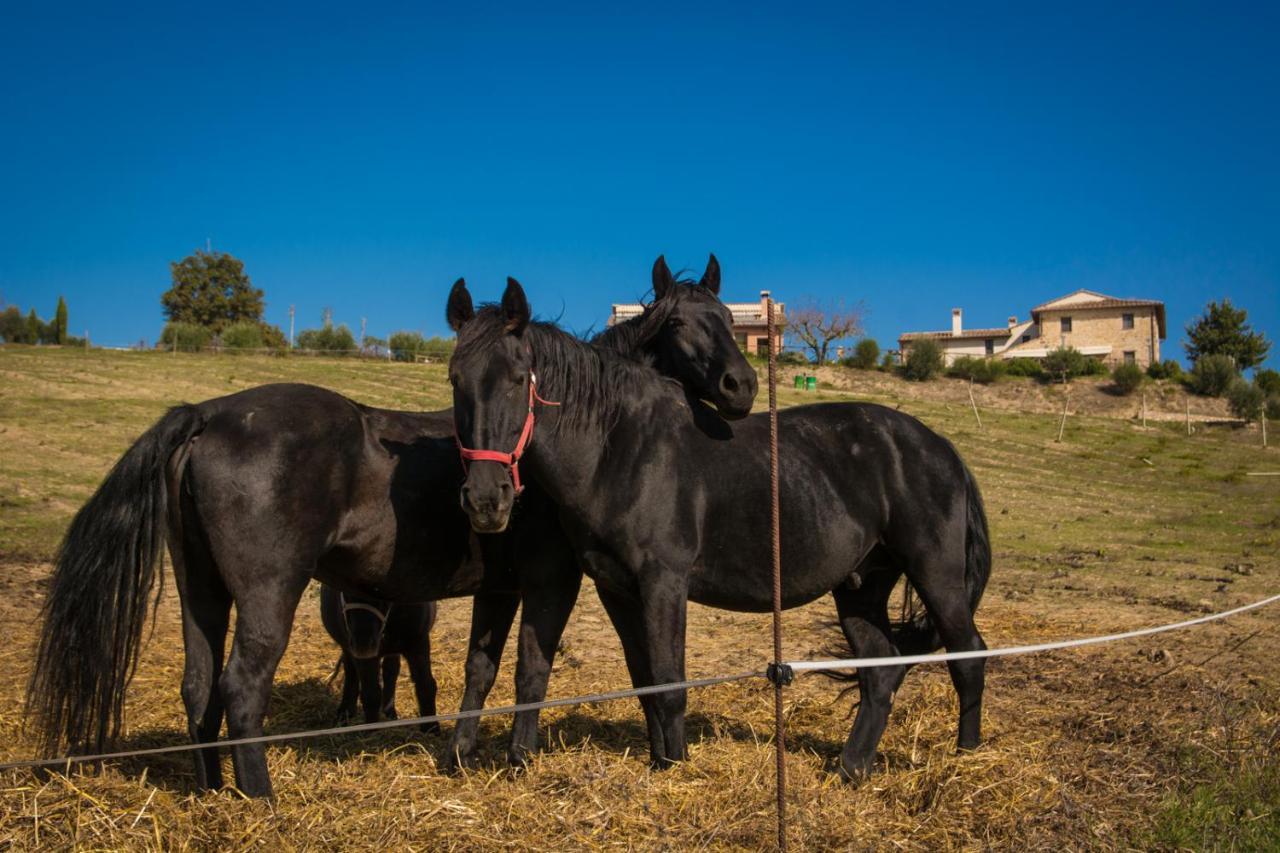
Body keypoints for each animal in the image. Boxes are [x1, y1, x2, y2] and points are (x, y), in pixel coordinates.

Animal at [320, 589, 440, 727]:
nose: (363, 645)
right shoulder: (365, 658)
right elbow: (371, 694)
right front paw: (371, 729)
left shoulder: (418, 644)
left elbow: (426, 685)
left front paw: (431, 728)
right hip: (348, 647)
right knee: (351, 672)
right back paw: (344, 713)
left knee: (390, 670)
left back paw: (389, 711)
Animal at [445, 279, 993, 778]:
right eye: (455, 380)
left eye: (519, 379)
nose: (486, 498)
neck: (620, 446)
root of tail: (938, 446)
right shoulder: (616, 589)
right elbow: (645, 678)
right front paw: (661, 760)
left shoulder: (664, 582)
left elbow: (670, 682)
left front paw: (678, 766)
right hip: (861, 587)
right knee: (880, 673)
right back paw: (850, 769)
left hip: (936, 576)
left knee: (968, 656)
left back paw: (967, 758)